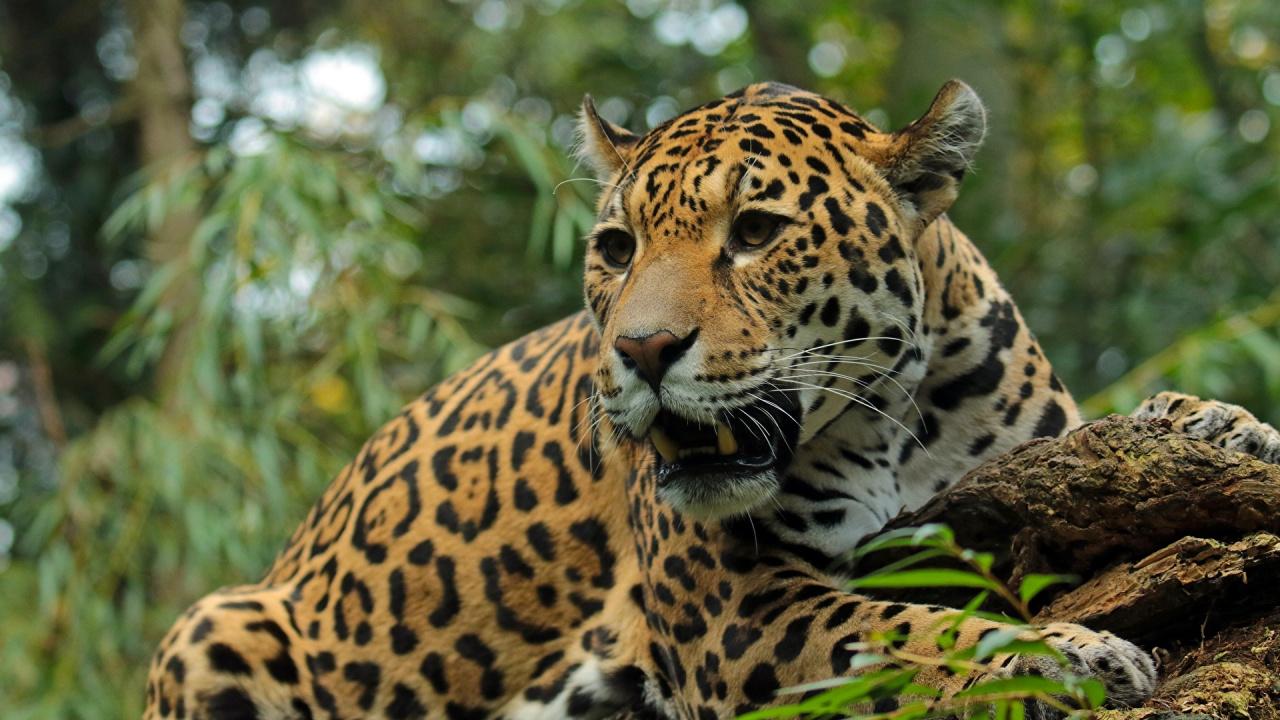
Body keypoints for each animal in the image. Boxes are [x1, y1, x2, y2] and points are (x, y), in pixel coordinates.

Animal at [142, 80, 1280, 720]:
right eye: (614, 248)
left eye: (756, 232)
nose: (642, 351)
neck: (897, 420)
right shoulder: (734, 610)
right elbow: (909, 632)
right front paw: (1069, 656)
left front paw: (1227, 427)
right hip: (216, 622)